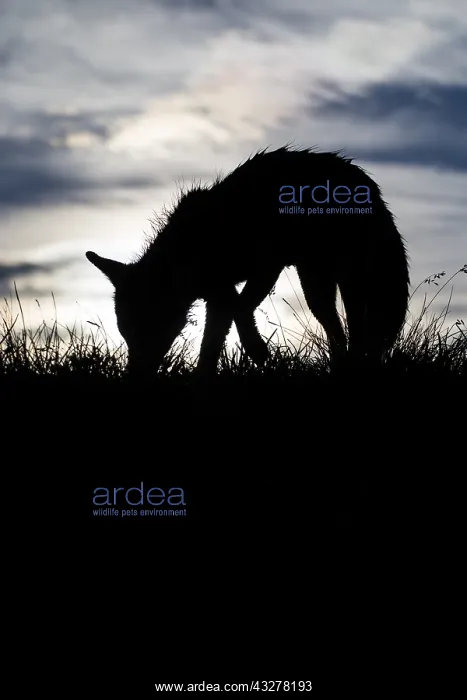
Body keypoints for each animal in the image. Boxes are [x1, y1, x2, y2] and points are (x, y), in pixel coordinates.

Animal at [86, 145, 410, 374]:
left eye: (148, 328)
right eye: (127, 334)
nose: (134, 375)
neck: (192, 245)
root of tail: (366, 182)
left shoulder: (266, 267)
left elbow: (240, 310)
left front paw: (257, 350)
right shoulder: (219, 294)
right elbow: (212, 343)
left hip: (348, 276)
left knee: (358, 325)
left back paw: (357, 364)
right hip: (315, 286)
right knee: (335, 326)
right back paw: (340, 365)